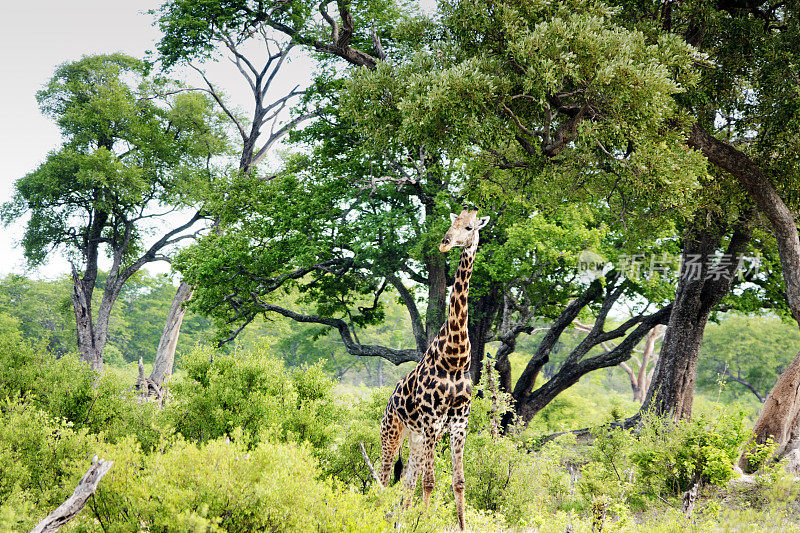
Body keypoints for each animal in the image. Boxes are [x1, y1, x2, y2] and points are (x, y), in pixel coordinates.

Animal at [380, 207, 490, 528]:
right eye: (451, 224)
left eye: (469, 227)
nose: (444, 243)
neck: (454, 360)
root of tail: (389, 400)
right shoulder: (432, 419)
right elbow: (430, 482)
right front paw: (426, 522)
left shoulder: (458, 422)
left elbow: (459, 482)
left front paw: (462, 526)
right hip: (392, 432)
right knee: (383, 477)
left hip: (417, 440)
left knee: (407, 480)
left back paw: (400, 520)